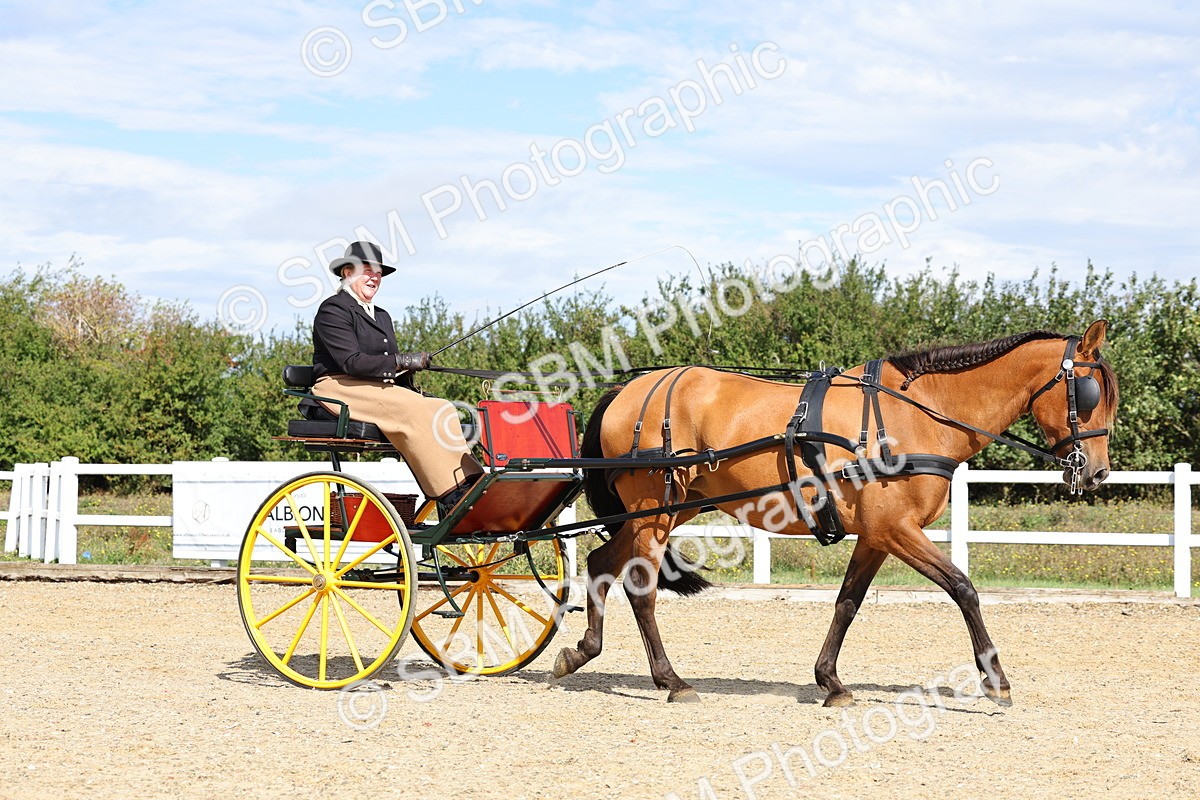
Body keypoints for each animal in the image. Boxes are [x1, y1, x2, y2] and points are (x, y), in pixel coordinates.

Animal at [551, 320, 1118, 706]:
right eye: (1091, 394)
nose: (1095, 473)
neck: (919, 416)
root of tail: (627, 389)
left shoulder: (876, 536)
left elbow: (847, 604)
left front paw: (831, 681)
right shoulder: (897, 530)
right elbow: (963, 588)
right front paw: (995, 680)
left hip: (662, 513)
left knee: (602, 564)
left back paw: (579, 652)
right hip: (655, 511)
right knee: (641, 589)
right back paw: (672, 681)